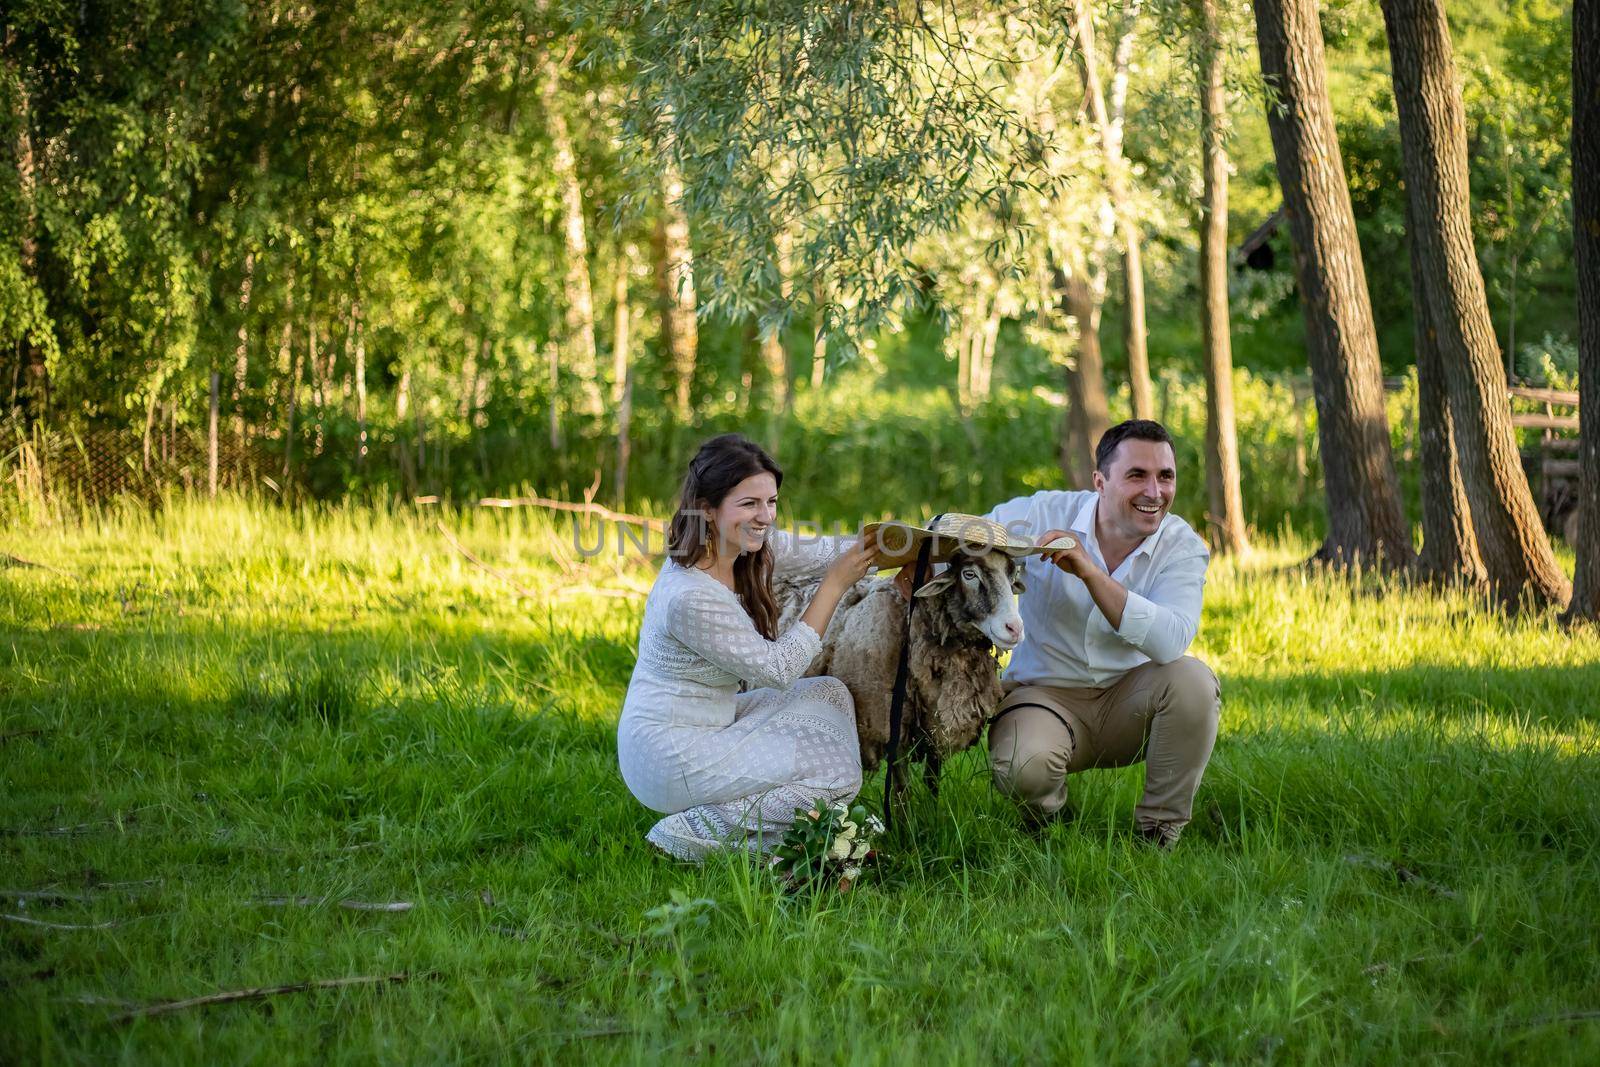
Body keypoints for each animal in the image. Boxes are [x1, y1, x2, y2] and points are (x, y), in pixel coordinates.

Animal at [774, 547, 1024, 790]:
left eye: (1012, 575)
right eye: (969, 574)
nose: (1015, 628)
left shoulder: (935, 726)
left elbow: (932, 782)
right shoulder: (888, 723)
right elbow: (902, 787)